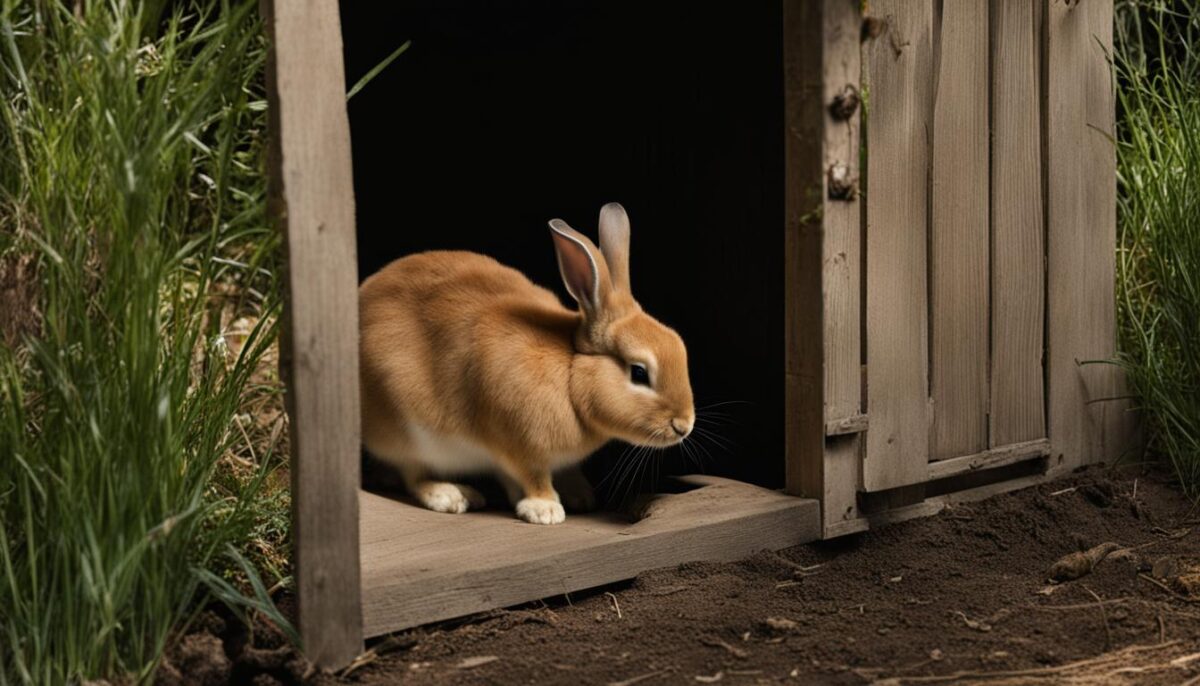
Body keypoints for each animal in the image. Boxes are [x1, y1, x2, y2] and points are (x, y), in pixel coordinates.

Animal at [359, 203, 695, 524]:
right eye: (639, 373)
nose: (684, 426)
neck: (570, 376)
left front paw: (580, 496)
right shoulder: (519, 444)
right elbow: (533, 476)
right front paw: (544, 510)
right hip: (407, 431)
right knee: (413, 475)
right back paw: (451, 495)